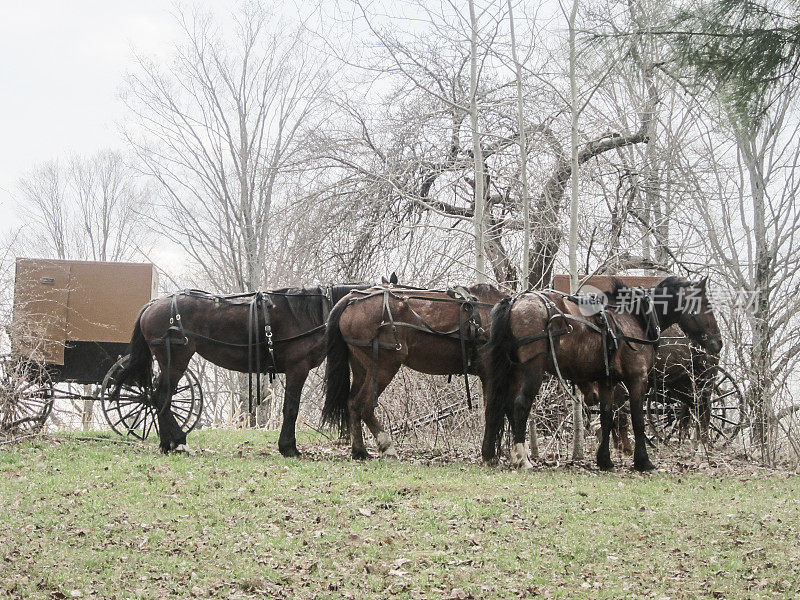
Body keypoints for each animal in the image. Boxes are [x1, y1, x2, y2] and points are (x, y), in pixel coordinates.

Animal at [111, 284, 368, 452]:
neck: (310, 311)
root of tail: (152, 305)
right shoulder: (298, 368)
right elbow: (291, 409)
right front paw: (288, 448)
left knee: (157, 397)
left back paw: (168, 441)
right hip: (176, 361)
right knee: (161, 396)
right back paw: (176, 440)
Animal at [320, 284, 504, 458]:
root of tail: (353, 298)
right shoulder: (492, 375)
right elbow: (493, 413)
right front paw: (493, 454)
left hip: (361, 369)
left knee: (352, 403)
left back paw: (360, 451)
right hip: (383, 368)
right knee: (363, 405)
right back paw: (387, 447)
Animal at [482, 278, 720, 474]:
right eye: (706, 306)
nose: (718, 343)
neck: (634, 318)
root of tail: (515, 301)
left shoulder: (607, 382)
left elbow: (607, 418)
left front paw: (604, 460)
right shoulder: (637, 379)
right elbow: (638, 420)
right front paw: (643, 461)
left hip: (513, 371)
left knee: (503, 405)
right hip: (532, 370)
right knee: (520, 405)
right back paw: (522, 458)